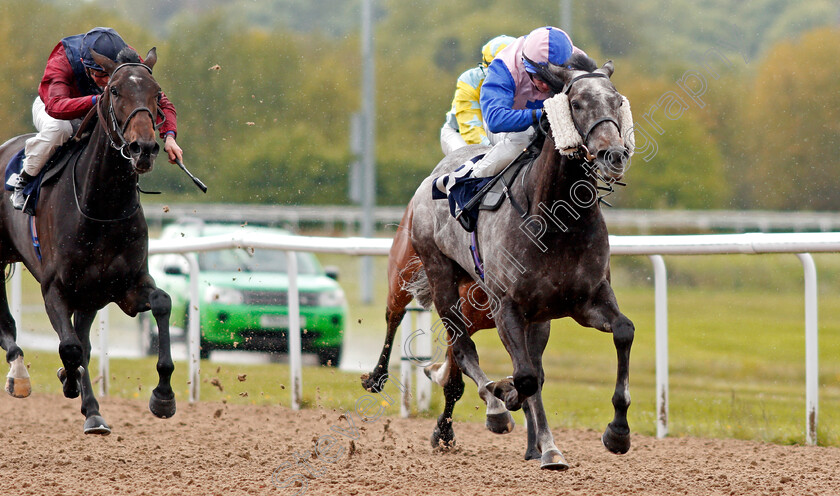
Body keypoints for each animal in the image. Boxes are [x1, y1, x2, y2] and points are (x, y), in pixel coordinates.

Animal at [0, 47, 176, 434]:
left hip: (91, 294)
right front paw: (67, 379)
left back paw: (92, 409)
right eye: (114, 90)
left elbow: (162, 302)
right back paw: (19, 371)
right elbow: (70, 348)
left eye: (157, 93)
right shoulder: (54, 288)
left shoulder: (125, 287)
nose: (144, 148)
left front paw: (163, 396)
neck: (102, 206)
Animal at [364, 56, 632, 466]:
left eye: (617, 101)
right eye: (576, 103)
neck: (557, 221)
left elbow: (622, 332)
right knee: (431, 333)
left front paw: (616, 432)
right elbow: (524, 378)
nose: (613, 154)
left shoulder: (586, 299)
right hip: (432, 273)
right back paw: (385, 378)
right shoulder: (507, 304)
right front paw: (515, 413)